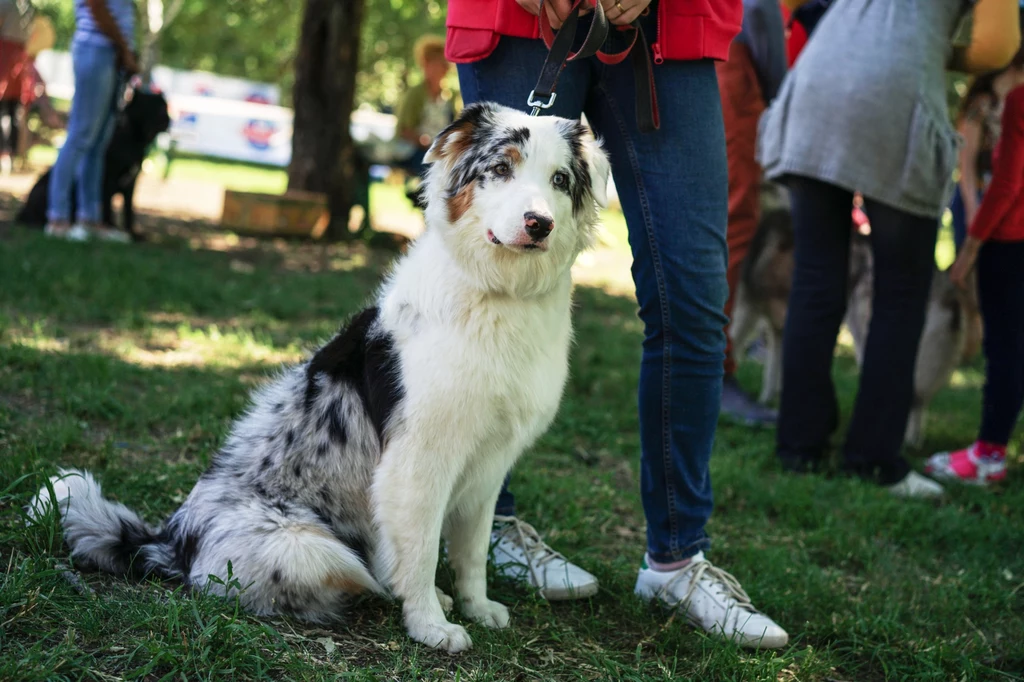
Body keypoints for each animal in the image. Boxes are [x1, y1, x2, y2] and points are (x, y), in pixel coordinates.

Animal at [17, 87, 169, 238]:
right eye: (154, 107)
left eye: (165, 106)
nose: (167, 117)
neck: (135, 140)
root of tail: (24, 209)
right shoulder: (108, 181)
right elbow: (108, 208)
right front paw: (110, 227)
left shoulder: (131, 184)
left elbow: (129, 211)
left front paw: (132, 233)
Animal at [29, 102, 606, 655]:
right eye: (501, 169)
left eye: (559, 180)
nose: (539, 224)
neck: (500, 294)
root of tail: (171, 539)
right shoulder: (418, 461)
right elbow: (420, 551)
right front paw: (430, 626)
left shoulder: (489, 465)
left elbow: (471, 551)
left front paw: (476, 606)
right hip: (311, 547)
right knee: (352, 575)